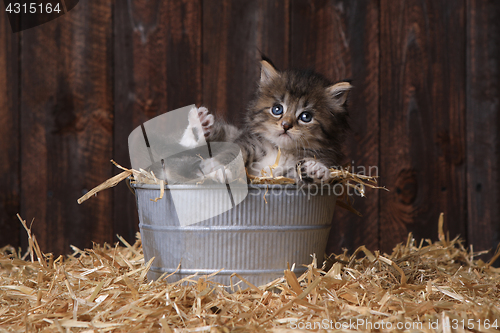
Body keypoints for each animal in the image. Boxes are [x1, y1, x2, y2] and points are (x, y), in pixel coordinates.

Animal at [188, 60, 352, 184]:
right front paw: (217, 167)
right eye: (277, 109)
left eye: (306, 117)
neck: (281, 150)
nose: (286, 125)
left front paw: (315, 169)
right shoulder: (248, 141)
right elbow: (233, 152)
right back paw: (200, 125)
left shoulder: (286, 177)